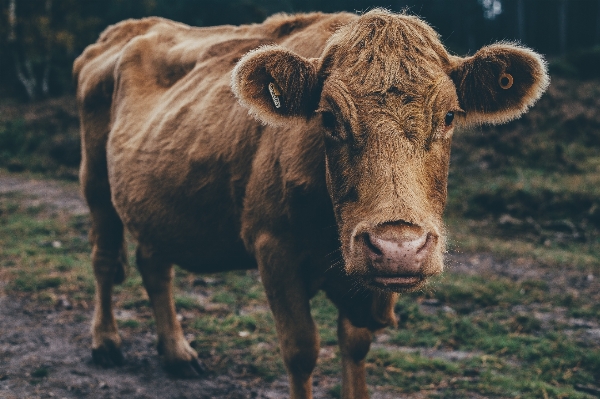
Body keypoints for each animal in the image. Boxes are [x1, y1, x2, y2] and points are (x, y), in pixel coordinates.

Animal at [75, 9, 548, 399]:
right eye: (329, 117)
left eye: (449, 116)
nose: (398, 248)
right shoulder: (273, 249)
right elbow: (301, 349)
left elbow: (355, 344)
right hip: (94, 183)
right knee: (102, 258)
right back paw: (106, 343)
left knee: (154, 265)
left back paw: (176, 353)